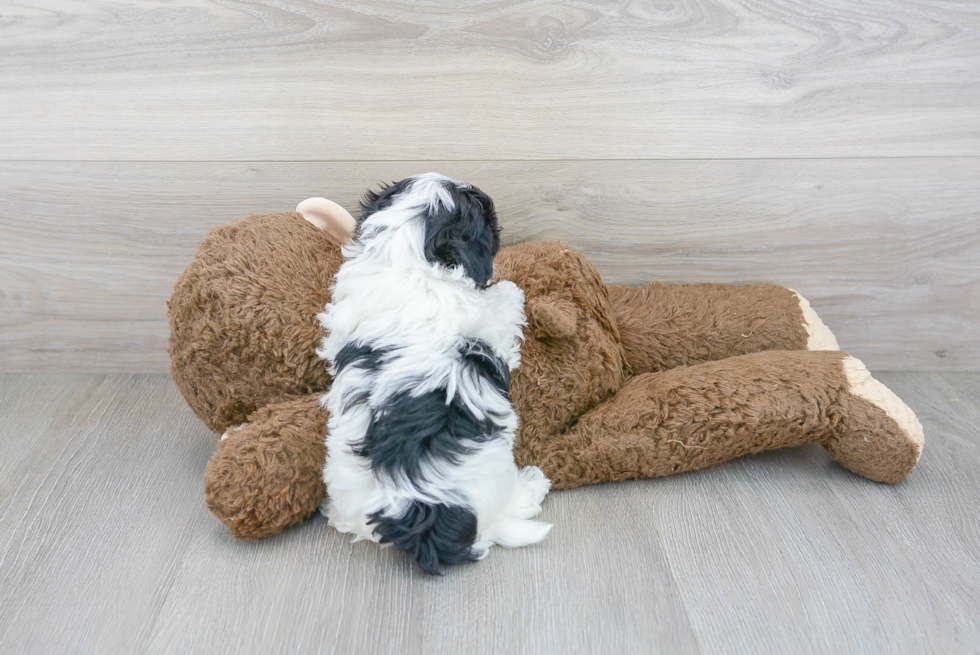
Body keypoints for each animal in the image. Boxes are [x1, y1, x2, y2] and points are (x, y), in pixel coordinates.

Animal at [320, 173, 552, 576]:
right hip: (493, 477)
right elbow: (503, 305)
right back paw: (534, 484)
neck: (407, 255)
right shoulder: (488, 325)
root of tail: (421, 519)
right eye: (485, 216)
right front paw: (511, 289)